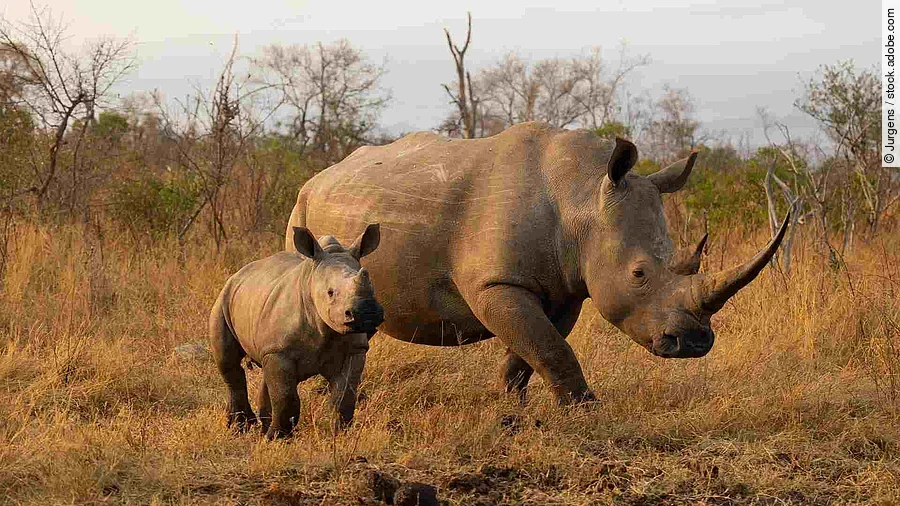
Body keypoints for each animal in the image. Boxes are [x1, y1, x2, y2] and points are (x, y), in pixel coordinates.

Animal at [210, 224, 384, 438]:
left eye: (373, 287)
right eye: (330, 292)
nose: (366, 312)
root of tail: (239, 273)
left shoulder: (355, 349)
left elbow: (344, 396)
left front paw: (339, 434)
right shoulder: (280, 350)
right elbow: (286, 397)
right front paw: (277, 438)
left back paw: (258, 426)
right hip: (223, 298)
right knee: (229, 363)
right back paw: (240, 428)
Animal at [285, 122, 788, 404]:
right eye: (639, 274)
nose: (694, 343)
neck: (582, 193)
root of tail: (319, 175)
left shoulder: (565, 288)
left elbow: (533, 351)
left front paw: (510, 413)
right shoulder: (496, 284)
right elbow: (550, 348)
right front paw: (587, 414)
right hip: (301, 210)